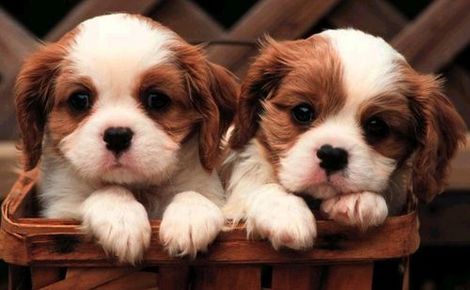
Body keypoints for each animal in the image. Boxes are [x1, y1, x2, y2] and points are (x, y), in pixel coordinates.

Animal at [15, 13, 239, 262]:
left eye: (156, 99)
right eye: (80, 99)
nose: (117, 136)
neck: (139, 188)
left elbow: (193, 192)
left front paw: (191, 216)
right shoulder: (60, 210)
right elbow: (109, 190)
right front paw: (121, 218)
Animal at [224, 29, 466, 250]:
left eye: (377, 126)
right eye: (302, 112)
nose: (331, 155)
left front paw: (359, 199)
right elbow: (257, 185)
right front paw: (285, 212)